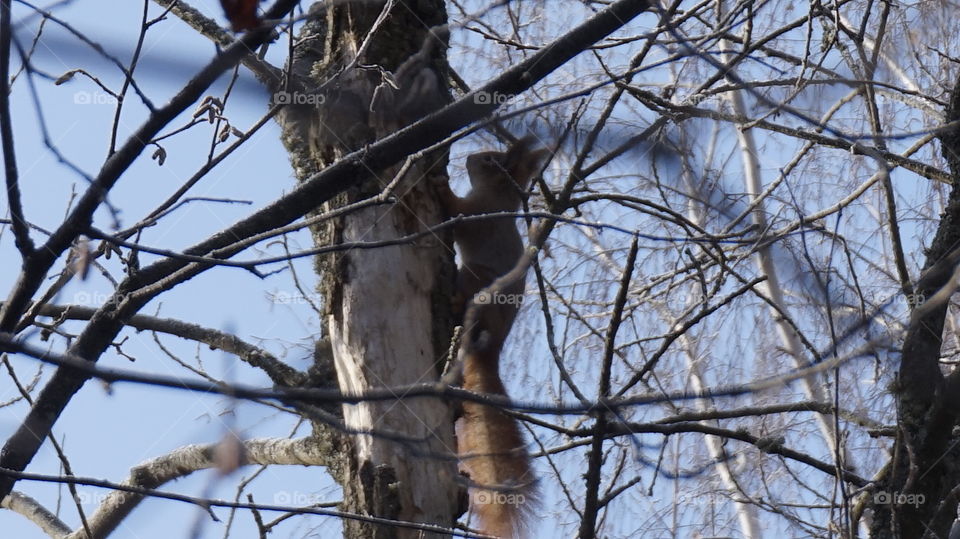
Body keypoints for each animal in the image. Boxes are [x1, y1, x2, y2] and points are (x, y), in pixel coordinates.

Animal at [436, 137, 550, 538]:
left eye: (489, 160)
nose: (468, 157)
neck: (499, 197)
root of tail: (494, 349)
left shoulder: (476, 215)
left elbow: (457, 212)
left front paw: (442, 187)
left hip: (477, 279)